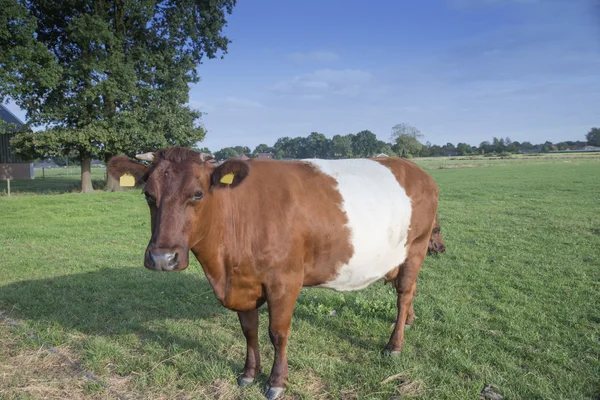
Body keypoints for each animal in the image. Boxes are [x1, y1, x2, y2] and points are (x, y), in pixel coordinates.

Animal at [108, 148, 446, 400]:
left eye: (198, 193)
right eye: (148, 195)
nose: (162, 258)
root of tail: (413, 168)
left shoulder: (285, 281)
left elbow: (278, 333)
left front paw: (276, 382)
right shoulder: (243, 283)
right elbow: (249, 330)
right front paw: (248, 373)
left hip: (416, 248)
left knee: (404, 293)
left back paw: (394, 345)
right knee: (410, 290)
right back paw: (409, 321)